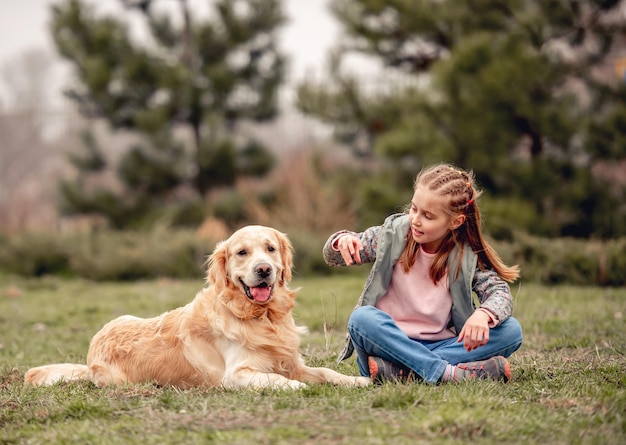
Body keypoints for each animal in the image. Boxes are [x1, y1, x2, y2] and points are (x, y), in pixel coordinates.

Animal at [24, 225, 368, 388]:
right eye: (242, 253)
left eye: (270, 249)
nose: (264, 270)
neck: (261, 316)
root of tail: (91, 350)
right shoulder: (236, 374)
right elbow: (275, 380)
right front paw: (295, 387)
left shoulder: (290, 361)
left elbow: (325, 372)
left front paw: (358, 380)